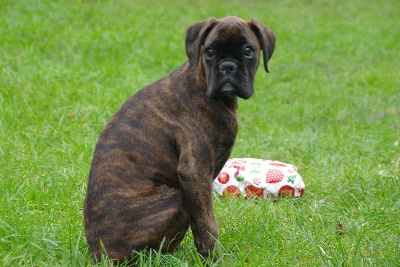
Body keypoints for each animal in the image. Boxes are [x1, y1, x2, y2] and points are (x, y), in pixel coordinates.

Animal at [83, 15, 276, 264]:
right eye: (210, 51)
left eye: (248, 50)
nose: (227, 66)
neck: (202, 83)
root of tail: (98, 254)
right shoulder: (194, 174)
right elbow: (208, 224)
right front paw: (213, 259)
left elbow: (200, 224)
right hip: (175, 197)